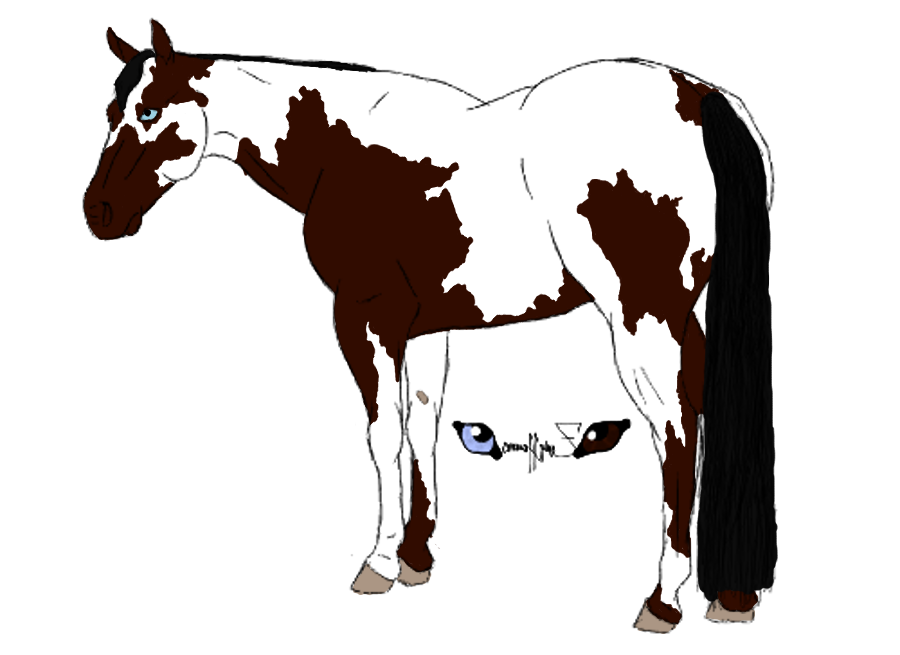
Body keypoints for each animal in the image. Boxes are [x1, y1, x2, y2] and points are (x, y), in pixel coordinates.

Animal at [83, 20, 775, 631]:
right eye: (113, 112)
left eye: (149, 113)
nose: (99, 213)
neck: (340, 150)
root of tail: (700, 97)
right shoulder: (424, 329)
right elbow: (422, 424)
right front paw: (417, 559)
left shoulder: (364, 319)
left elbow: (384, 434)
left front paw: (381, 563)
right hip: (678, 323)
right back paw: (730, 595)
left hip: (644, 321)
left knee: (676, 435)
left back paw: (663, 602)